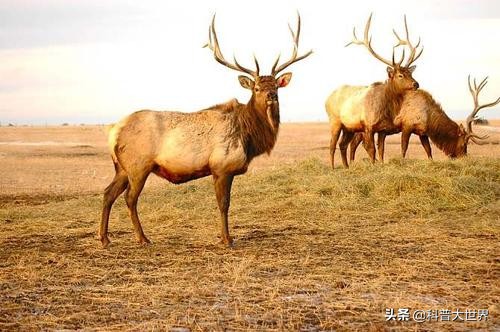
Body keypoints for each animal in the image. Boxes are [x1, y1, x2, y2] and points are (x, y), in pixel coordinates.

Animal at [99, 14, 310, 248]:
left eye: (276, 86)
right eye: (256, 88)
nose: (271, 96)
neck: (249, 138)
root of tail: (114, 132)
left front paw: (225, 237)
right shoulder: (222, 166)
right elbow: (224, 204)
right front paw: (227, 239)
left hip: (122, 168)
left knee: (108, 194)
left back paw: (105, 238)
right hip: (138, 165)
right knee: (129, 198)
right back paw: (143, 238)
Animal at [324, 13, 422, 167]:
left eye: (410, 73)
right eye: (400, 75)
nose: (415, 84)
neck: (386, 109)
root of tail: (326, 99)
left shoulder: (383, 129)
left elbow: (381, 150)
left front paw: (381, 165)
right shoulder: (368, 126)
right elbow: (371, 150)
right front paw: (373, 166)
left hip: (349, 128)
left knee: (342, 144)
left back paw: (347, 167)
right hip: (335, 121)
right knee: (332, 145)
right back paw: (333, 168)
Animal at [350, 76, 498, 159]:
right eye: (464, 144)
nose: (464, 157)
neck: (430, 118)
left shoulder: (422, 132)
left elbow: (428, 150)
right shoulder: (407, 126)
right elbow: (404, 148)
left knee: (356, 144)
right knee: (359, 145)